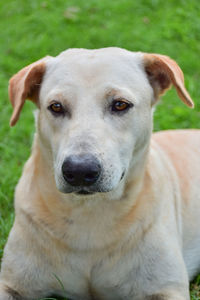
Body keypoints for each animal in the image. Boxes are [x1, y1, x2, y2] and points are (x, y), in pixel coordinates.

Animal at [0, 48, 200, 298]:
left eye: (120, 105)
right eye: (56, 107)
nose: (79, 170)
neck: (89, 212)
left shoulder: (167, 288)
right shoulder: (11, 283)